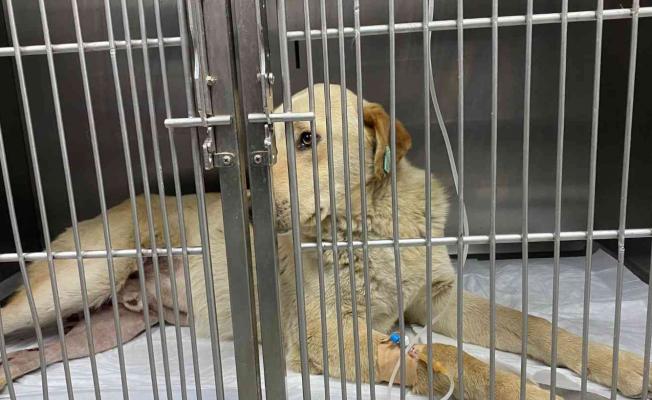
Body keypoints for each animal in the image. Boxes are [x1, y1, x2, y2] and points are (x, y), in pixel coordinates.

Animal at [1, 84, 649, 399]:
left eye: (307, 139)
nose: (239, 205)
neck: (371, 228)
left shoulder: (436, 301)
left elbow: (540, 328)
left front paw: (621, 366)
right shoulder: (320, 333)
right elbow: (455, 360)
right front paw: (532, 394)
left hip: (111, 326)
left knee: (39, 350)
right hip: (76, 281)